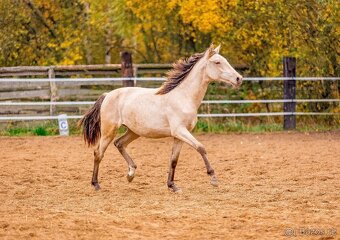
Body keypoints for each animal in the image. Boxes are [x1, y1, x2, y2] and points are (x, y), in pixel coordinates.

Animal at [79, 44, 242, 192]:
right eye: (217, 62)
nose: (239, 78)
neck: (183, 97)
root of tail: (107, 95)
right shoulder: (180, 131)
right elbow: (201, 148)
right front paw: (213, 178)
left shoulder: (178, 136)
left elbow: (174, 160)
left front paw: (172, 186)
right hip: (108, 131)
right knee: (98, 153)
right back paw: (96, 184)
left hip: (134, 131)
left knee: (119, 143)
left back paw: (131, 174)